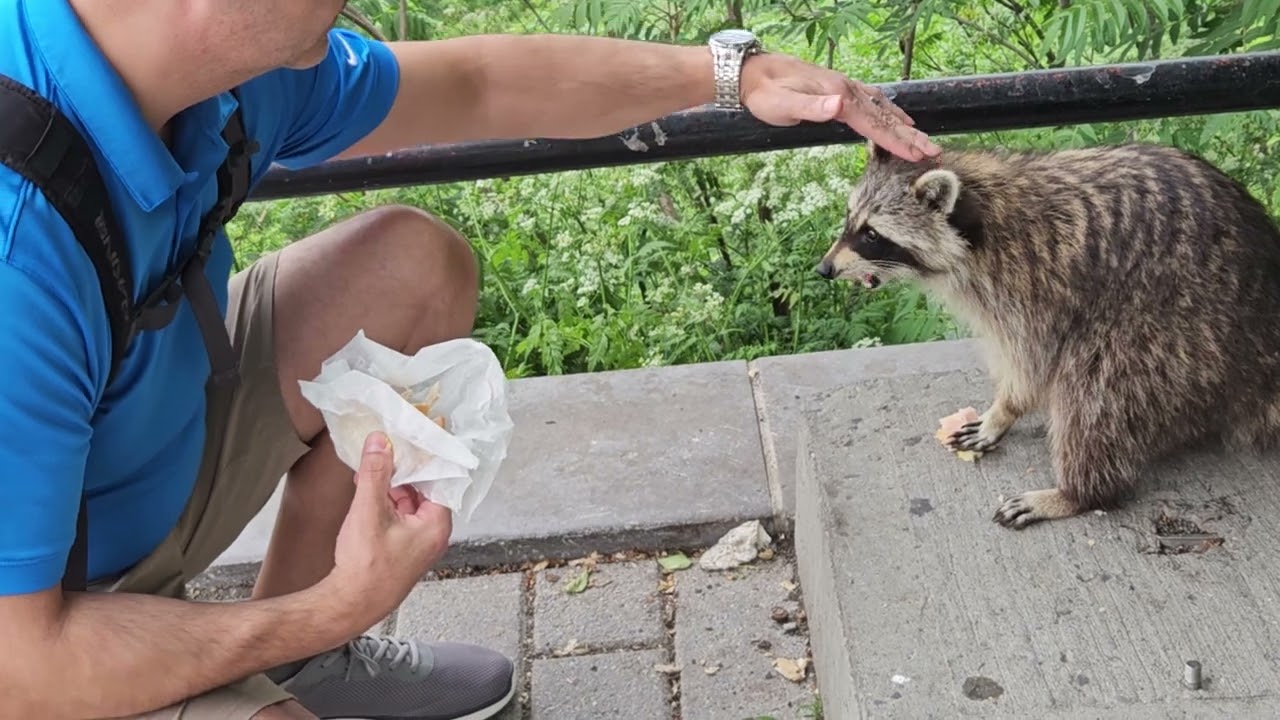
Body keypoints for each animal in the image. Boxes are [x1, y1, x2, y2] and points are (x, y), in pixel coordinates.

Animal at [817, 139, 1280, 529]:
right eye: (849, 220)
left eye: (872, 234)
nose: (824, 269)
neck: (982, 210)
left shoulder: (1036, 283)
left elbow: (1033, 363)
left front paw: (1005, 409)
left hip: (1175, 327)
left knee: (1095, 393)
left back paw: (1077, 492)